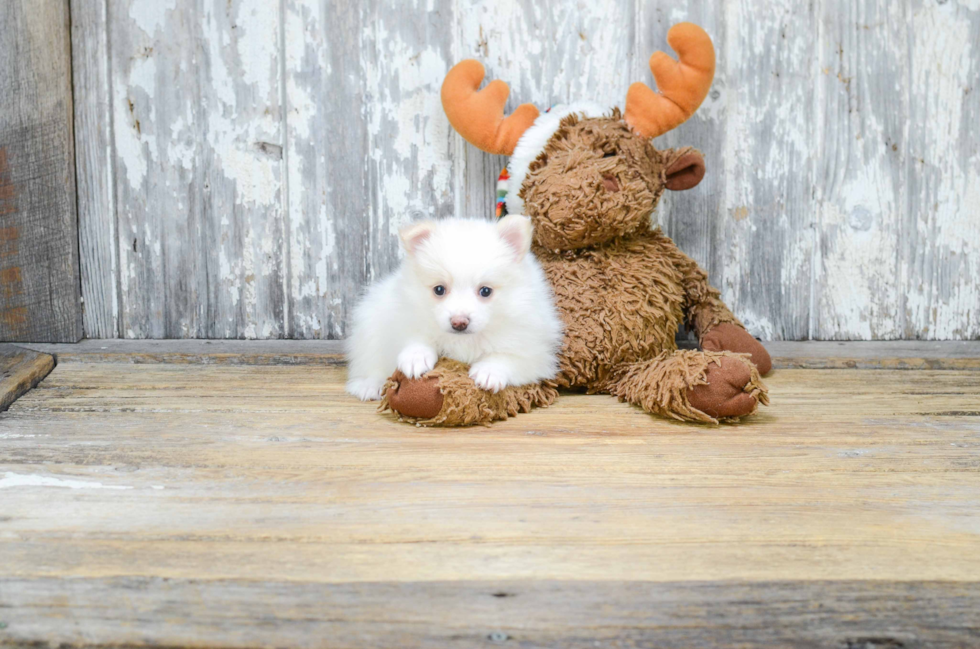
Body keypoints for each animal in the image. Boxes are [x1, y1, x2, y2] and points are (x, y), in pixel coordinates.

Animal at [346, 215, 564, 400]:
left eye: (485, 291)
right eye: (439, 289)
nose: (459, 322)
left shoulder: (534, 352)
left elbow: (507, 357)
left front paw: (488, 371)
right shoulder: (404, 315)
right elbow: (416, 337)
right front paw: (416, 357)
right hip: (370, 324)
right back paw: (369, 385)